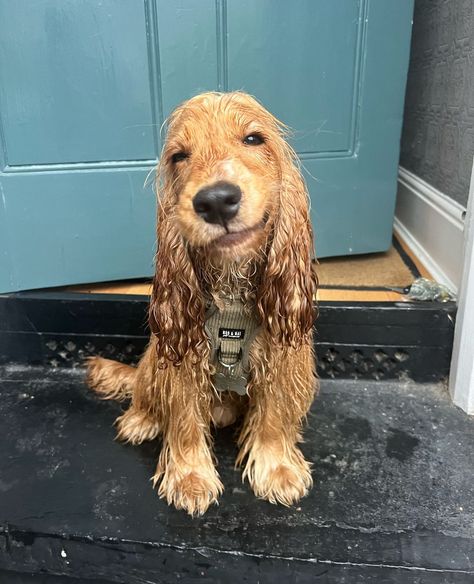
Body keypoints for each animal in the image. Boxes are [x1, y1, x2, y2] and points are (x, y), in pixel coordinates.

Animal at [87, 91, 316, 516]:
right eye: (179, 155)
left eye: (254, 139)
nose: (216, 201)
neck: (232, 291)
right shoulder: (183, 362)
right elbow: (184, 422)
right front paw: (189, 478)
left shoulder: (283, 358)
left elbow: (275, 418)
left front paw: (277, 469)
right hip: (154, 359)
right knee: (144, 390)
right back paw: (140, 420)